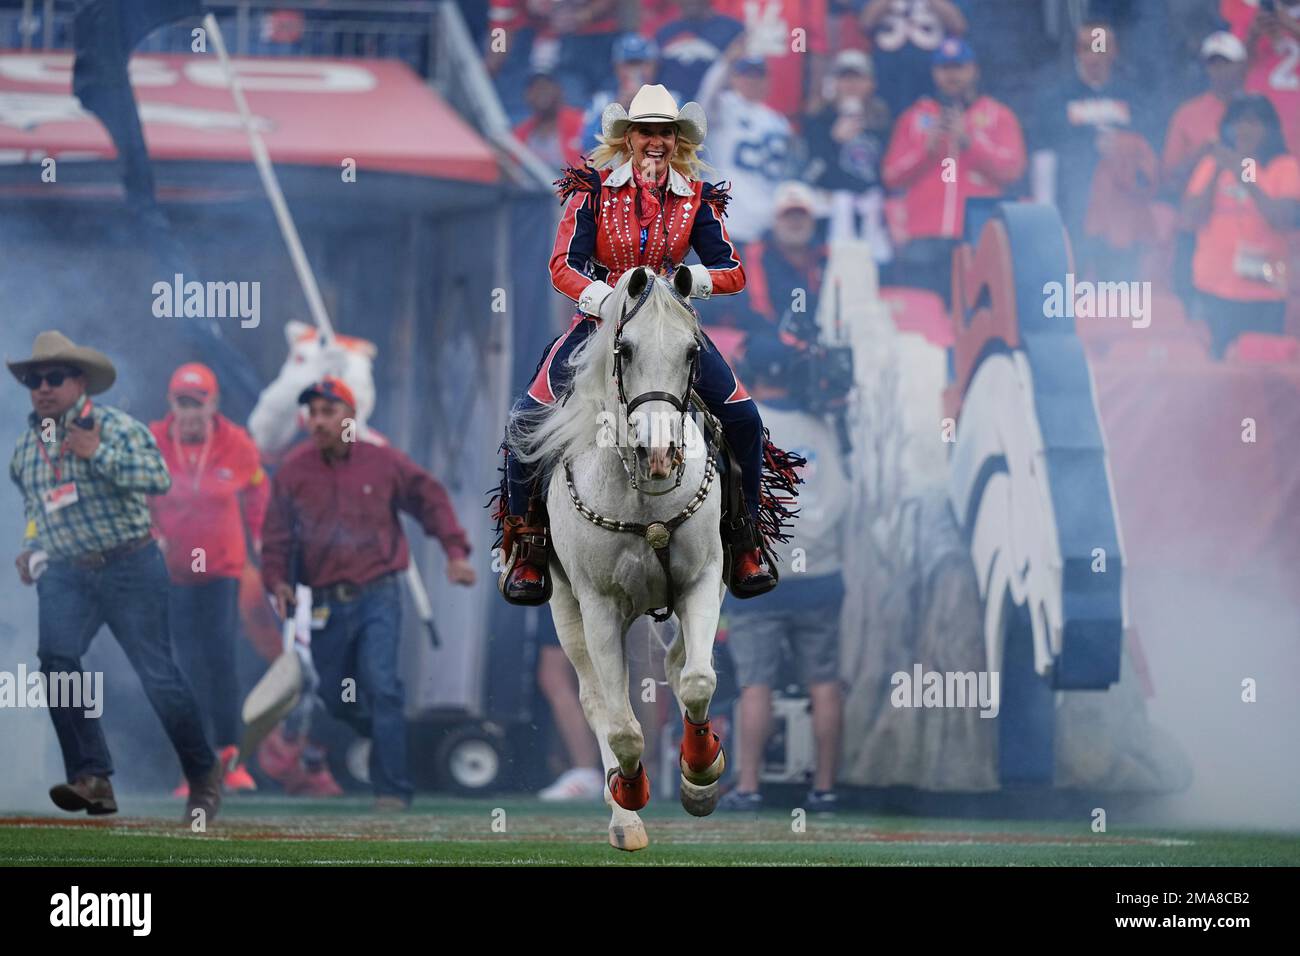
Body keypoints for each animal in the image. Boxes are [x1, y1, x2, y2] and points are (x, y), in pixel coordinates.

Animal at [506, 267, 733, 853]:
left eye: (692, 351)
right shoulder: (599, 606)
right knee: (596, 701)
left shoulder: (703, 581)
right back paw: (623, 816)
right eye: (625, 349)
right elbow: (622, 724)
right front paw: (629, 795)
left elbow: (697, 679)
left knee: (679, 667)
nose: (659, 453)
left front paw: (701, 771)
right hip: (566, 610)